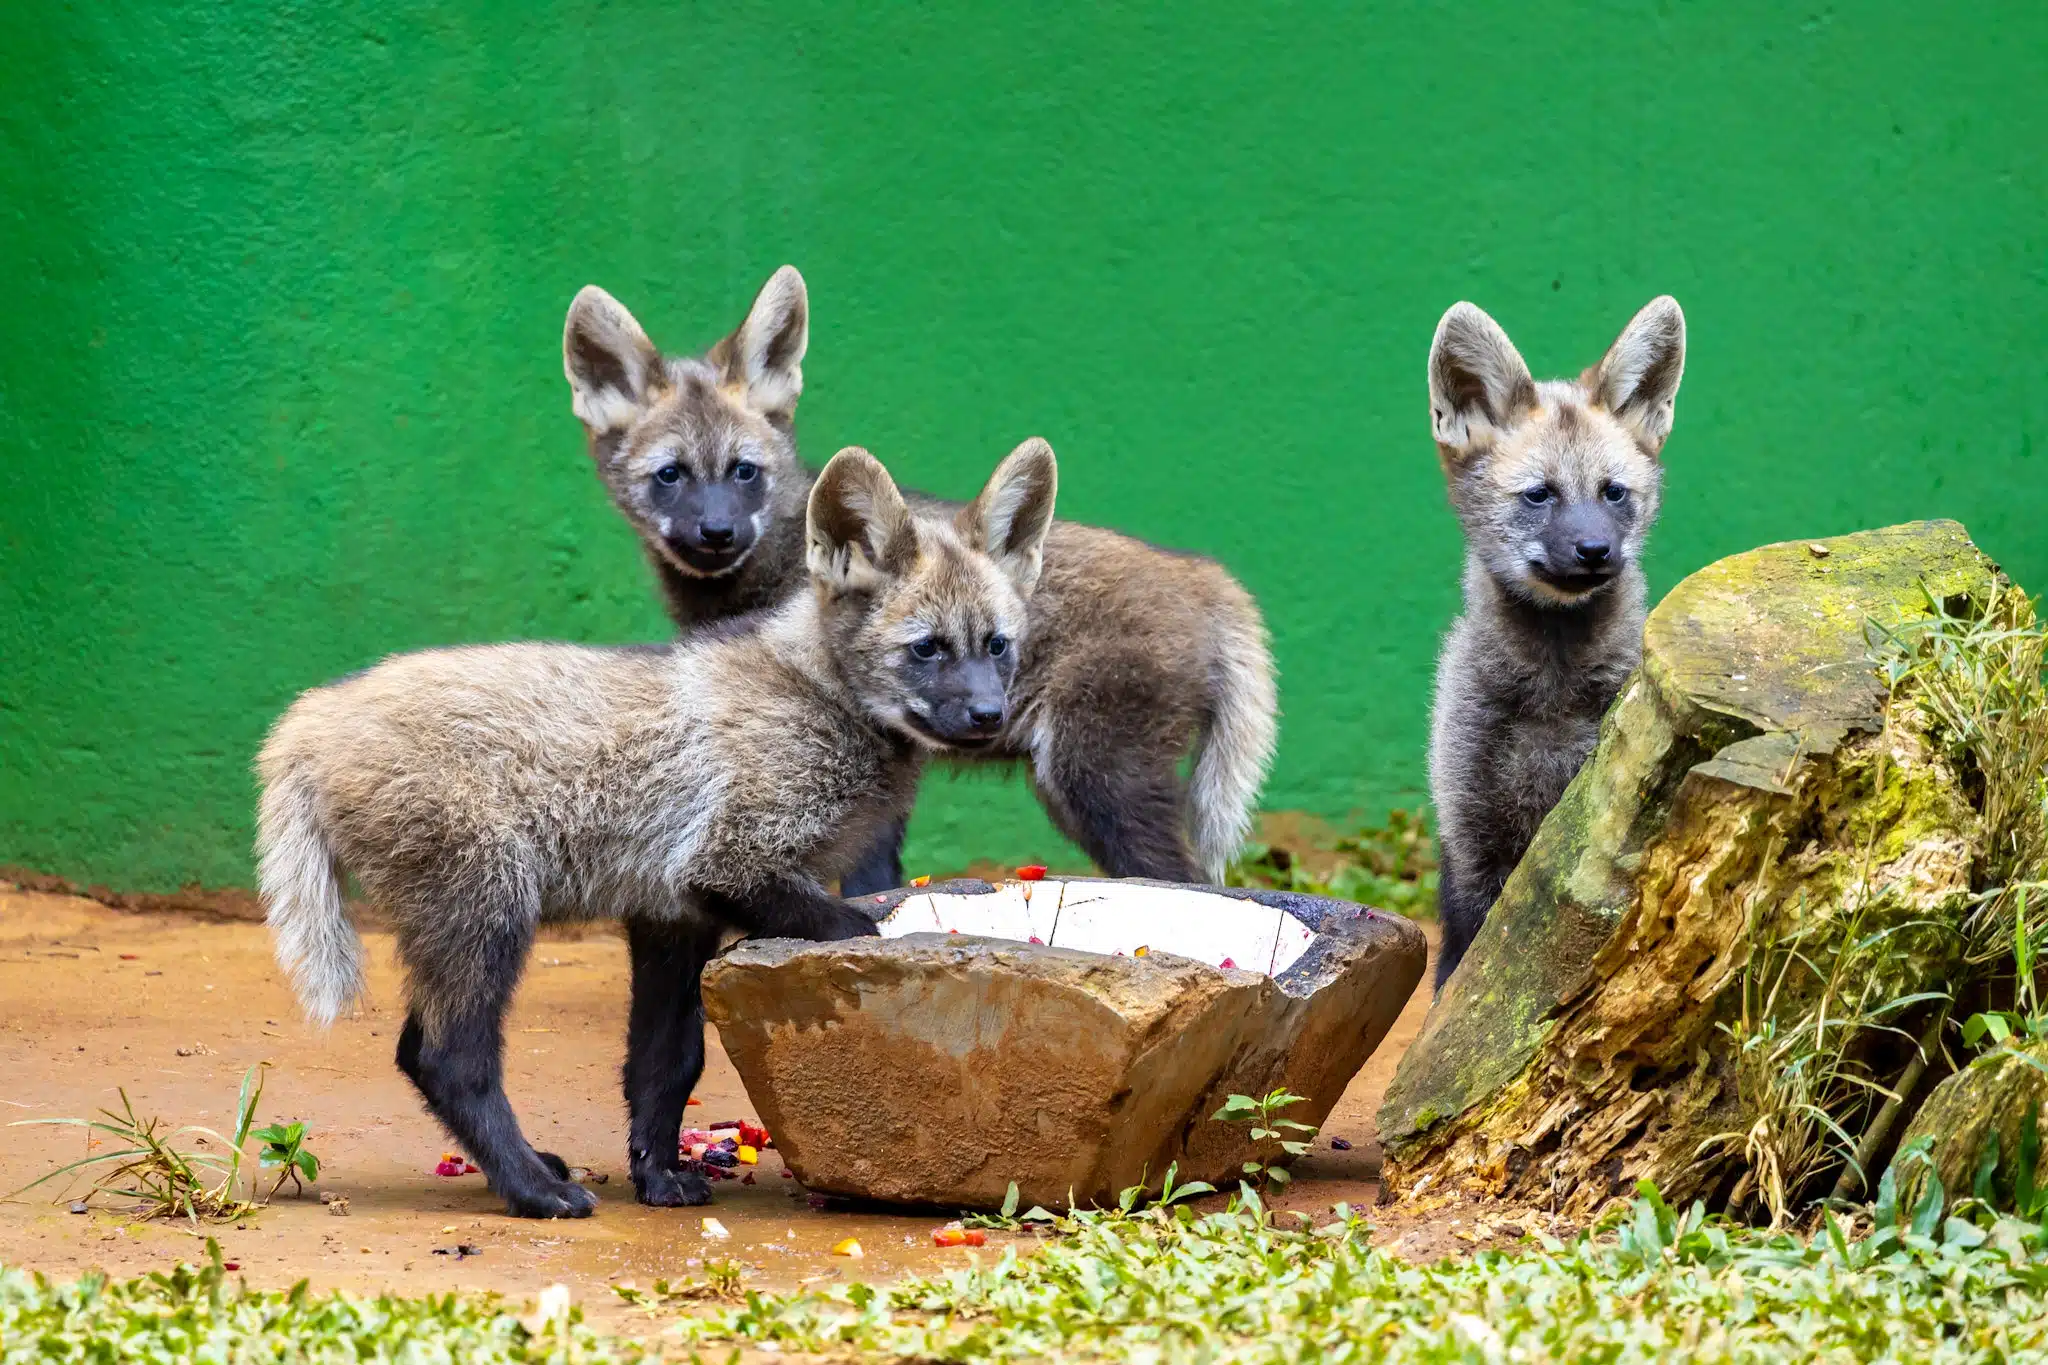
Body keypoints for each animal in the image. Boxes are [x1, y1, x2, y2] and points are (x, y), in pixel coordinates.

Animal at [255, 442, 1056, 1218]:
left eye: (996, 646)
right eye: (928, 648)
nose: (989, 716)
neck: (819, 695)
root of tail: (308, 717)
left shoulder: (673, 914)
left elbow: (667, 1066)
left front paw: (659, 1177)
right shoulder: (729, 866)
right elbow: (853, 927)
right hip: (490, 911)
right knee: (445, 1058)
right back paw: (534, 1191)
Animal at [562, 269, 1277, 893]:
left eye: (744, 471)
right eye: (670, 475)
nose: (718, 534)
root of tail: (1205, 574)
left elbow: (862, 878)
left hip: (1093, 781)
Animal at [1424, 295, 1686, 988]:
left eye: (1613, 492)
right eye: (1539, 495)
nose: (1595, 551)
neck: (1553, 690)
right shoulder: (1471, 838)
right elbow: (1459, 975)